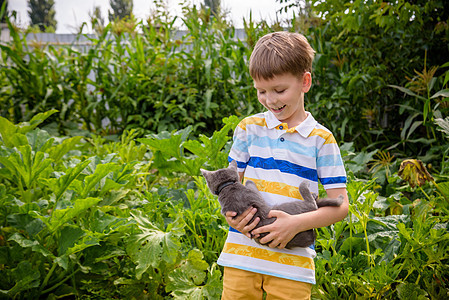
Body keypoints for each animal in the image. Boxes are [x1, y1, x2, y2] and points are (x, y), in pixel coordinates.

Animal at [200, 161, 344, 250]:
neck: (228, 186)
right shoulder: (255, 197)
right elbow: (252, 186)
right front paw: (250, 181)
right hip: (295, 206)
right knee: (312, 204)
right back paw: (307, 187)